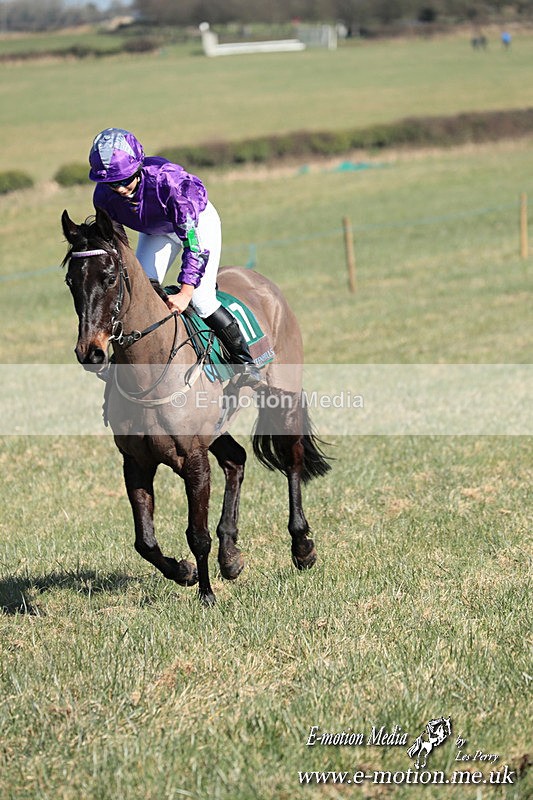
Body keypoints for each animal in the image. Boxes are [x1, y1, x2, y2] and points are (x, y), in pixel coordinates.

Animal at [61, 207, 331, 605]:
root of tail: (261, 281)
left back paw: (301, 546)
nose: (89, 352)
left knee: (292, 459)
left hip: (283, 396)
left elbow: (196, 534)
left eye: (109, 277)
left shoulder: (193, 459)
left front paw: (206, 595)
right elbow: (144, 541)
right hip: (217, 426)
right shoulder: (136, 462)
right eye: (70, 281)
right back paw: (230, 555)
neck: (151, 365)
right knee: (236, 459)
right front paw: (185, 572)